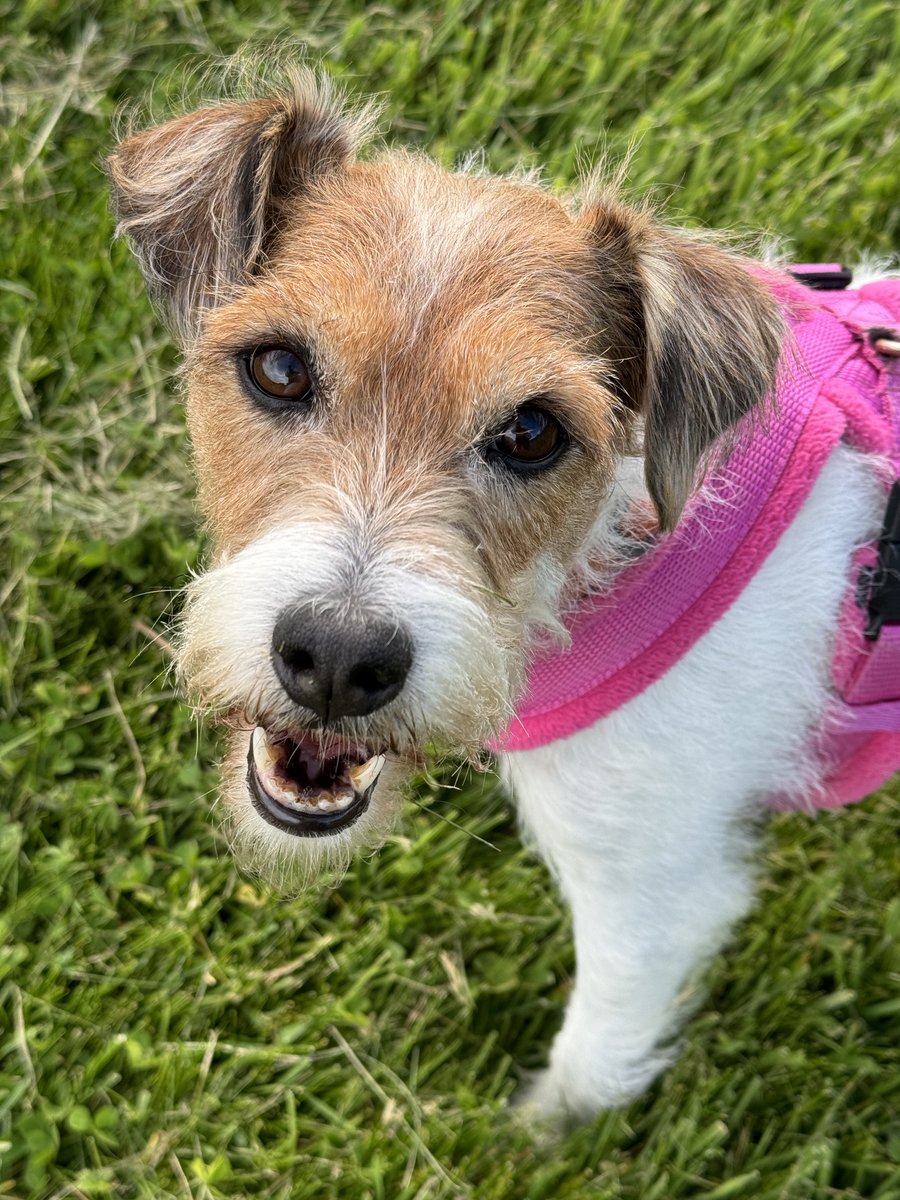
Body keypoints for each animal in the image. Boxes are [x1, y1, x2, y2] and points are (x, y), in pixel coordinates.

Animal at [107, 72, 900, 1123]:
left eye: (531, 431)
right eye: (278, 367)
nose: (337, 660)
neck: (606, 552)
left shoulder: (653, 887)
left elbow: (597, 1046)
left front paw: (541, 1133)